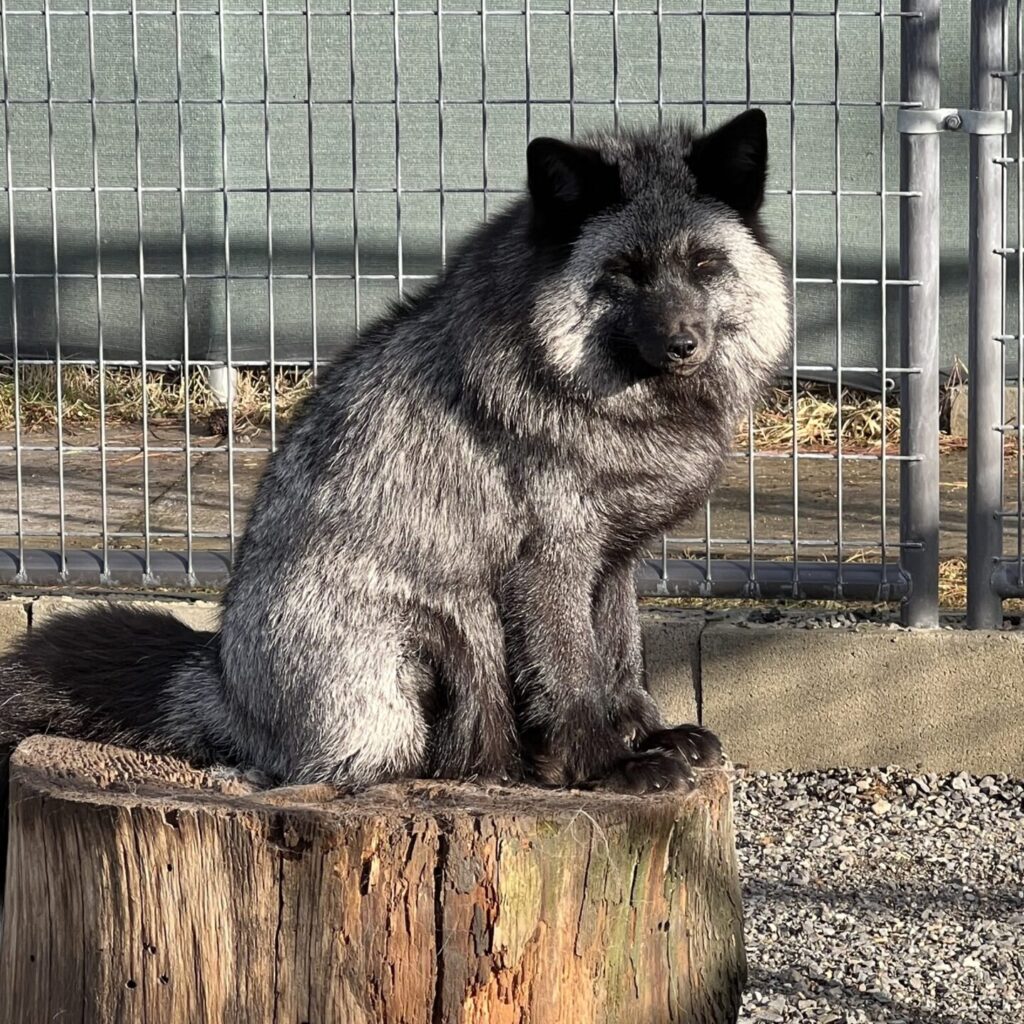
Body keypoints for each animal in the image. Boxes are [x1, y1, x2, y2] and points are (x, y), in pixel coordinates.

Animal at [0, 109, 790, 858]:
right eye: (624, 271)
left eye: (704, 263)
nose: (684, 343)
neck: (607, 396)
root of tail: (223, 679)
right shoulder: (550, 562)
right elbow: (570, 674)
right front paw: (606, 763)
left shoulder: (616, 560)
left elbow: (622, 658)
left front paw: (646, 733)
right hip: (424, 643)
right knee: (334, 766)